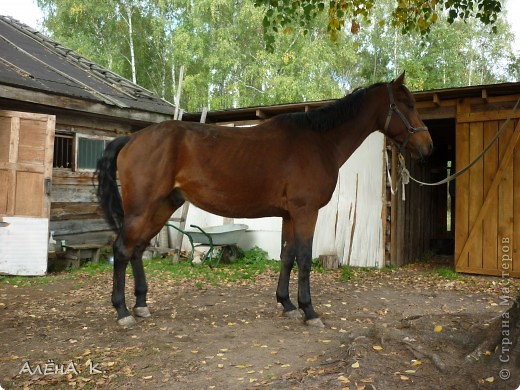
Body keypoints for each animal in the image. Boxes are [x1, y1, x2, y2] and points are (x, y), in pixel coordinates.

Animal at [95, 72, 432, 326]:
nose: (428, 146)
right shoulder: (306, 212)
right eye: (408, 104)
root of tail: (132, 138)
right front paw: (309, 311)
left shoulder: (289, 215)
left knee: (138, 249)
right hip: (143, 208)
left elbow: (286, 256)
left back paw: (141, 304)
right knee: (123, 249)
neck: (318, 142)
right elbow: (304, 259)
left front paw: (287, 304)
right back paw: (122, 311)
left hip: (163, 206)